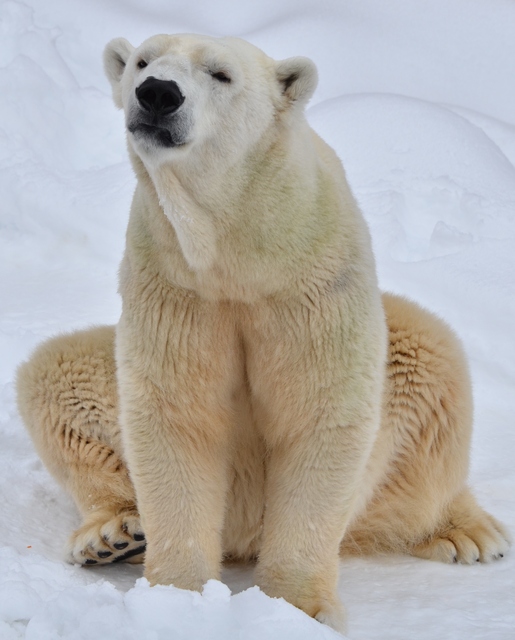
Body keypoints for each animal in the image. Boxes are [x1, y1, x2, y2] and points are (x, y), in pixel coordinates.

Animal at [16, 36, 512, 636]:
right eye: (142, 61)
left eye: (220, 74)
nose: (157, 93)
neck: (238, 249)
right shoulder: (176, 289)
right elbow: (174, 415)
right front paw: (177, 599)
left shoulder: (309, 285)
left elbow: (320, 413)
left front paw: (297, 607)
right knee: (55, 369)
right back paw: (114, 534)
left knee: (430, 357)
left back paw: (466, 532)